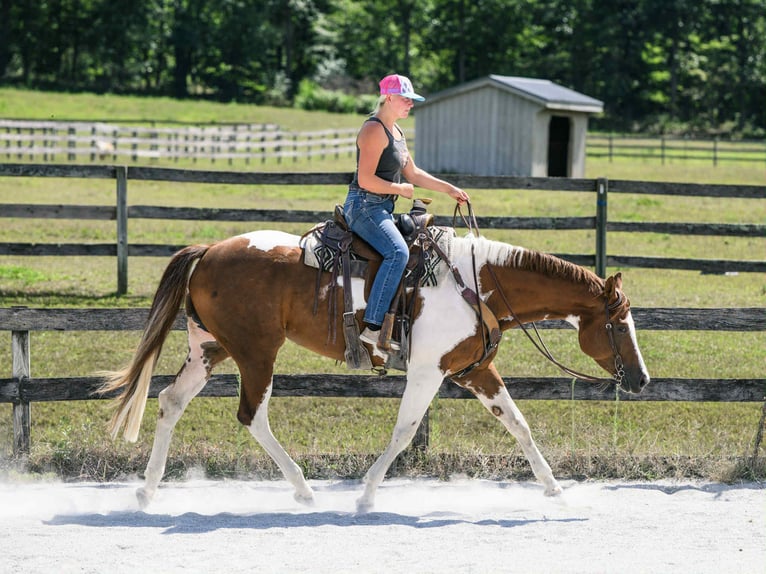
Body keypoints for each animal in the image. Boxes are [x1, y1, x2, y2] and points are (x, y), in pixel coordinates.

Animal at [100, 227, 650, 512]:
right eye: (617, 325)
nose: (641, 379)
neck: (476, 285)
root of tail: (210, 250)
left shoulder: (474, 372)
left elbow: (519, 424)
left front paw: (554, 487)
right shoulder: (428, 372)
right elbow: (405, 431)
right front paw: (365, 494)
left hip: (211, 348)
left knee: (171, 401)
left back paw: (147, 491)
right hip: (257, 352)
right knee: (252, 416)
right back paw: (303, 489)